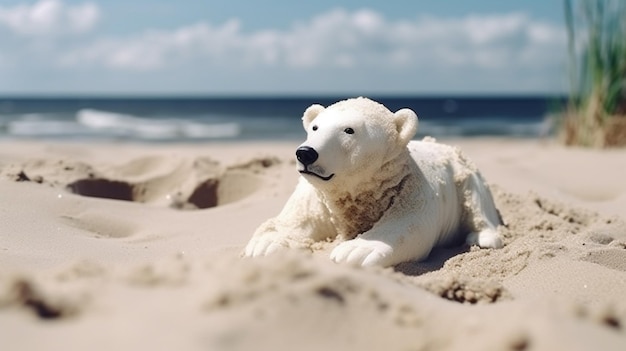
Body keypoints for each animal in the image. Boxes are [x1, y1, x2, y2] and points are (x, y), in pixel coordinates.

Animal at [241, 96, 500, 266]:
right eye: (314, 127)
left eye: (349, 130)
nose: (305, 153)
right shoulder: (315, 197)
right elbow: (295, 220)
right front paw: (265, 244)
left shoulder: (411, 187)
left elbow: (410, 225)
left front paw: (354, 250)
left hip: (467, 176)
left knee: (476, 202)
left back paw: (485, 237)